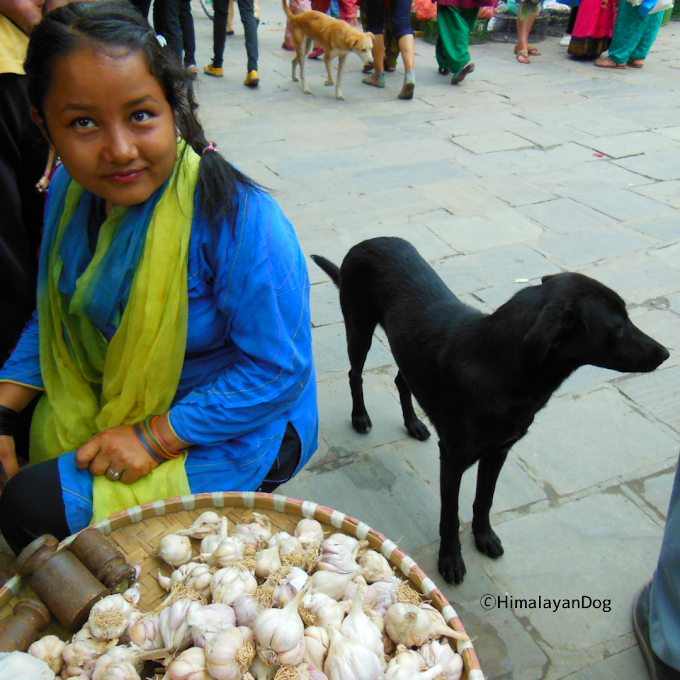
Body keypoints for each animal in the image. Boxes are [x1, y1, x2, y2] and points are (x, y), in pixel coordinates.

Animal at [312, 236, 668, 580]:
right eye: (618, 327)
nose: (665, 353)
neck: (498, 367)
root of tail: (367, 243)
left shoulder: (499, 451)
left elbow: (484, 500)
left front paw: (483, 537)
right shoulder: (452, 459)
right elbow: (451, 515)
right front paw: (450, 559)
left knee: (402, 380)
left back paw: (413, 423)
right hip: (359, 328)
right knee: (355, 374)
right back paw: (360, 416)